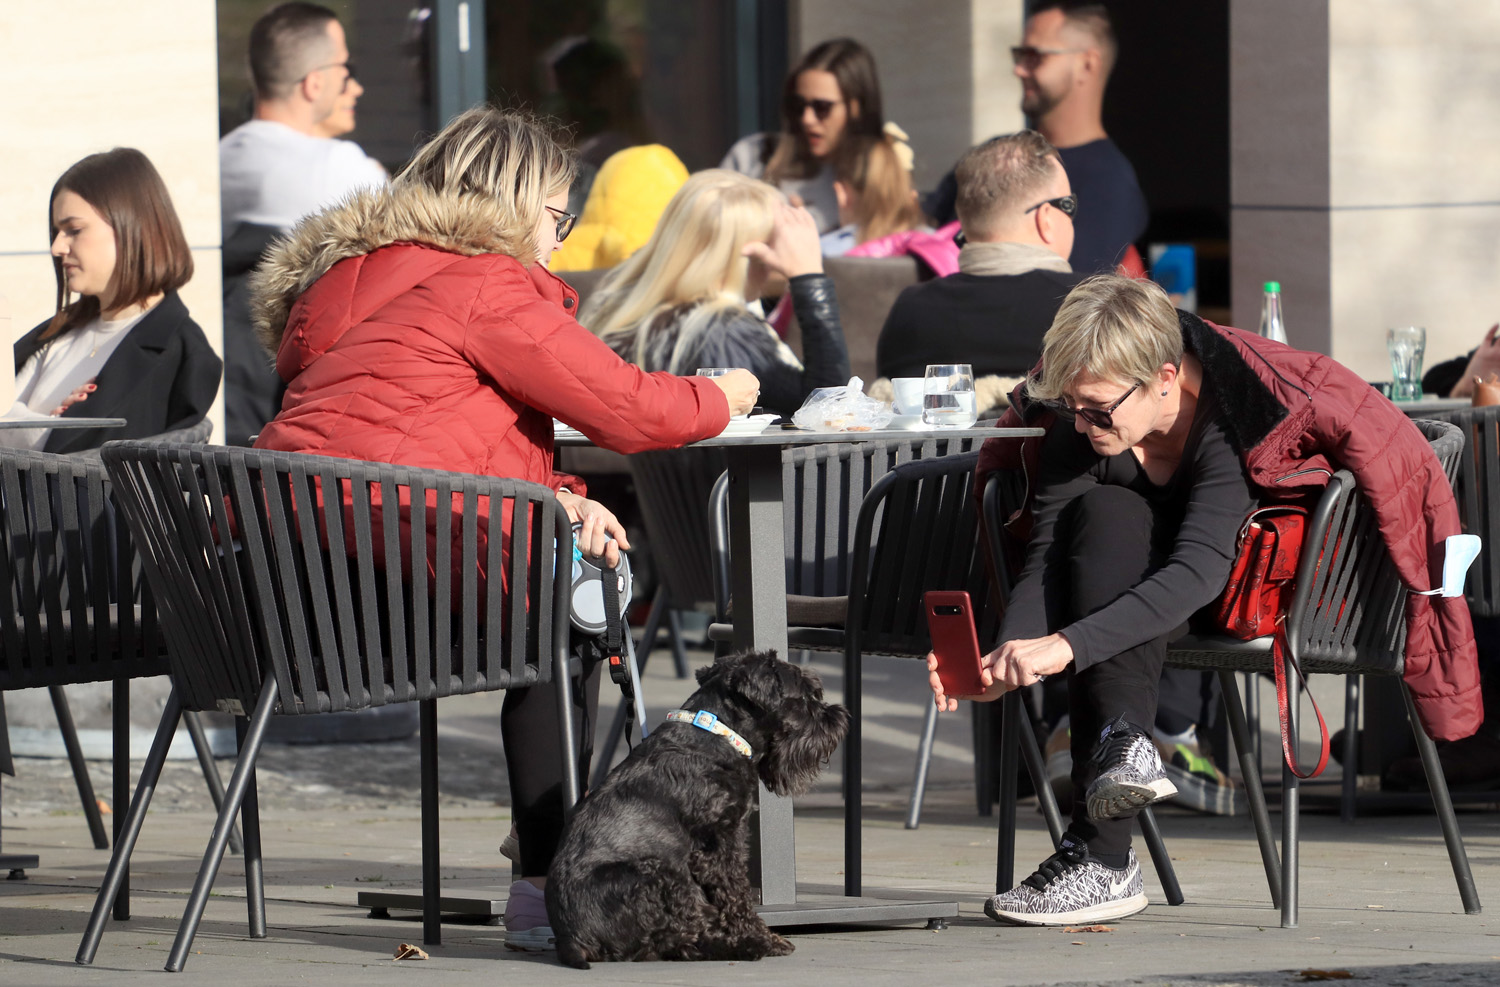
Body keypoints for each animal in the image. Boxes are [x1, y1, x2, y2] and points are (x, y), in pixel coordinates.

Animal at [543, 651, 852, 966]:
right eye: (805, 696)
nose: (839, 718)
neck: (720, 735)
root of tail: (571, 940)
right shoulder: (719, 847)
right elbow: (737, 896)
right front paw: (761, 937)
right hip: (659, 875)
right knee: (681, 938)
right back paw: (746, 947)